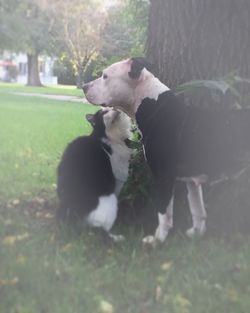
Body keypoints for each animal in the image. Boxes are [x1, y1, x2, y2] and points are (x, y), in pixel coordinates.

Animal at [56, 106, 131, 238]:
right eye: (104, 112)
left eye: (110, 107)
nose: (114, 107)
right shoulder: (119, 176)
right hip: (111, 201)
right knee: (101, 230)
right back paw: (116, 237)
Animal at [83, 57, 250, 245]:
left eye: (105, 76)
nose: (83, 86)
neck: (157, 109)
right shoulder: (192, 180)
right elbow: (197, 209)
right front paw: (196, 234)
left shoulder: (163, 176)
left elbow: (164, 212)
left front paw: (158, 240)